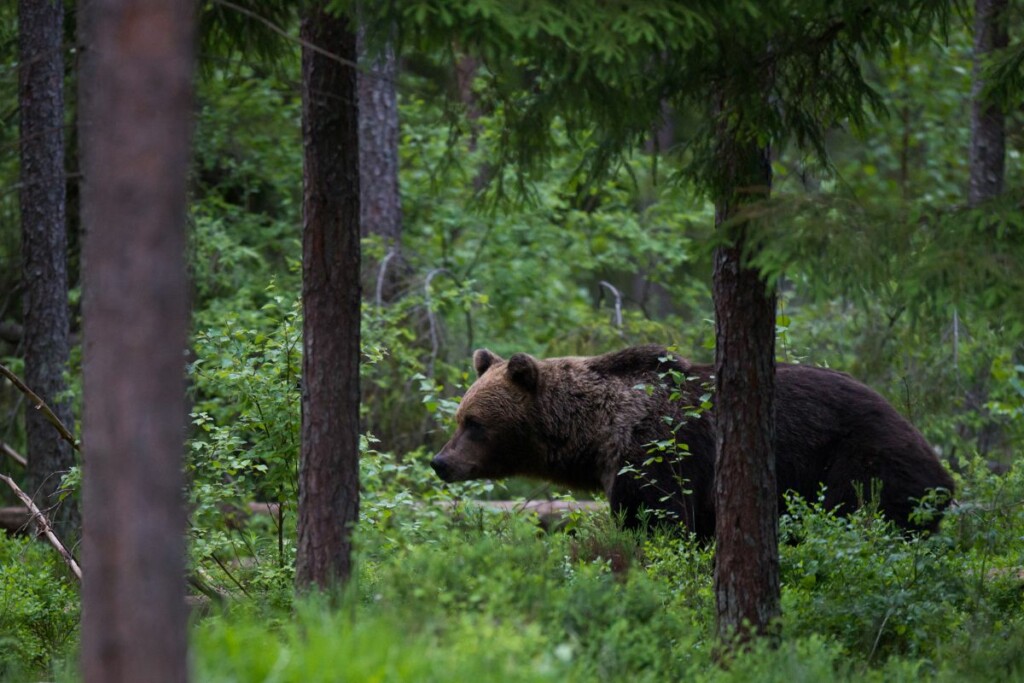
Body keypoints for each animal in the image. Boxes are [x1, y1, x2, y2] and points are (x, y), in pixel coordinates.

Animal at [430, 344, 950, 536]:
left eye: (474, 423)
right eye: (460, 417)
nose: (440, 462)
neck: (597, 433)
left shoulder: (654, 456)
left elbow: (656, 522)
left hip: (858, 461)